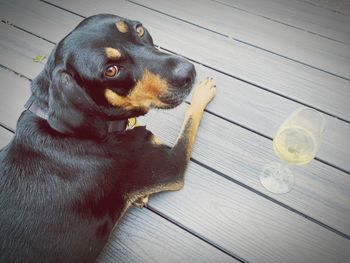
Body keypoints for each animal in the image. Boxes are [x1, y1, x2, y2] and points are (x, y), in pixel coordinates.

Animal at [0, 14, 215, 263]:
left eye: (139, 30)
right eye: (111, 70)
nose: (189, 72)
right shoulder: (172, 165)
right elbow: (190, 120)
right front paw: (203, 92)